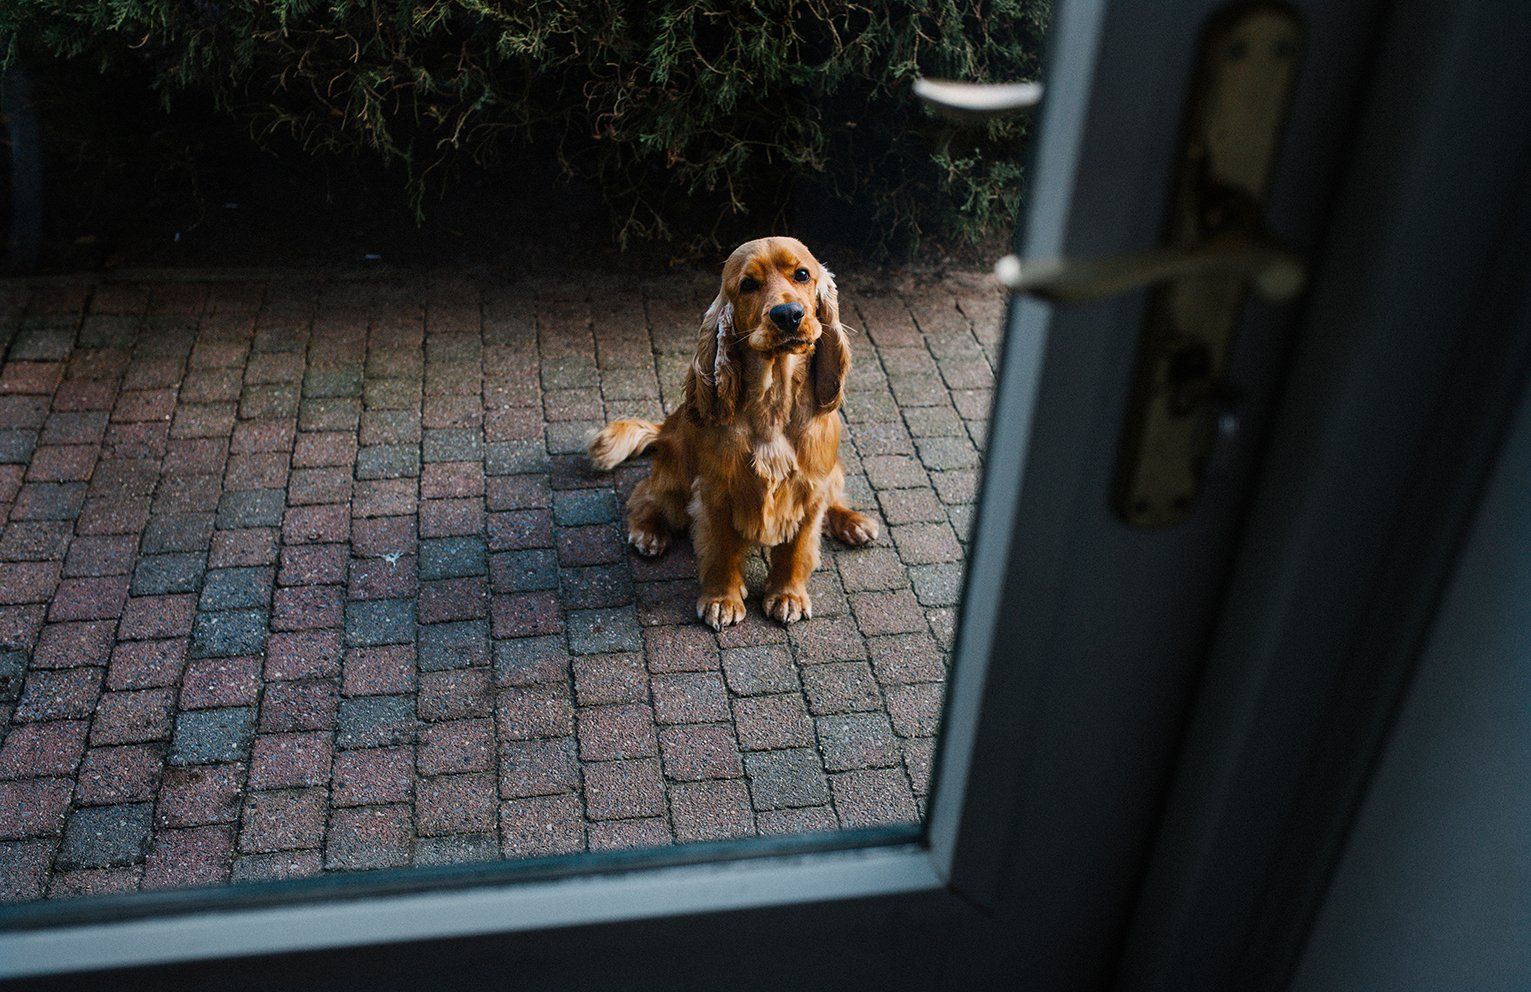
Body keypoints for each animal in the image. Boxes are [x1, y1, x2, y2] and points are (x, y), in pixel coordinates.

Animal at [590, 234, 881, 627]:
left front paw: (787, 595)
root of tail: (666, 426)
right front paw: (722, 599)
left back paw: (853, 523)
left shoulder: (810, 486)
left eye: (803, 274)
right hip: (674, 475)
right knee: (645, 495)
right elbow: (721, 549)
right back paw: (648, 532)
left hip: (832, 470)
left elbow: (798, 547)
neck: (773, 400)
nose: (788, 314)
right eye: (748, 285)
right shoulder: (716, 490)